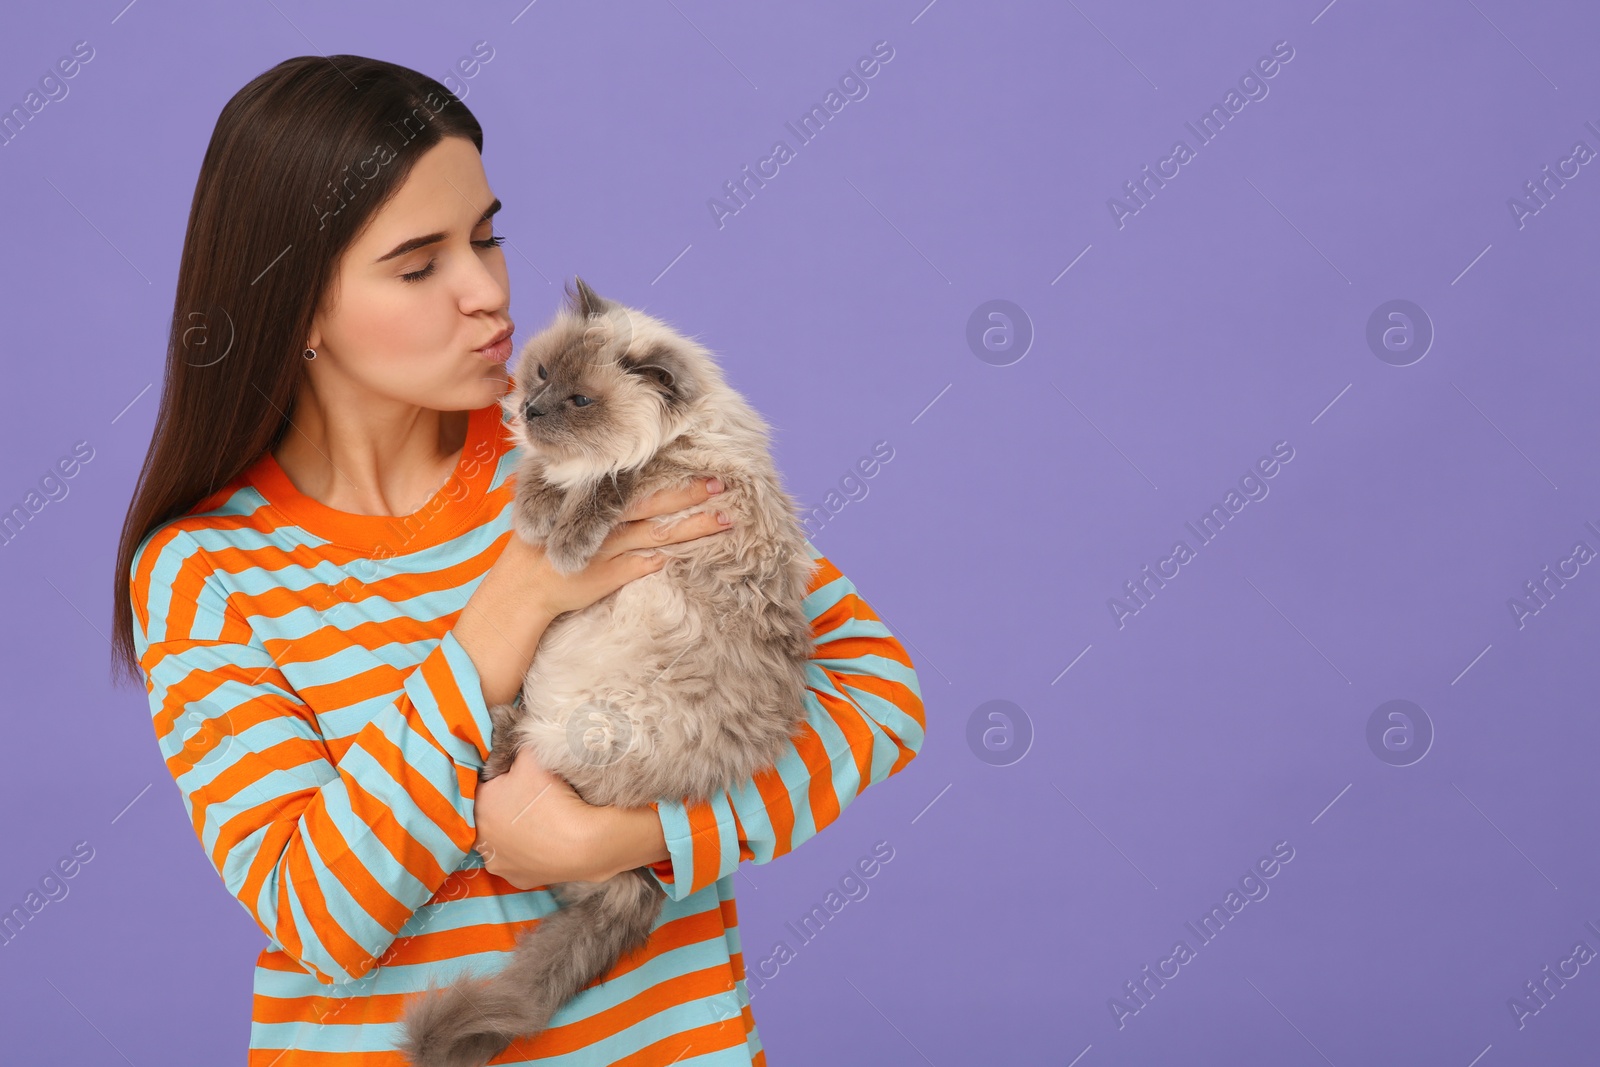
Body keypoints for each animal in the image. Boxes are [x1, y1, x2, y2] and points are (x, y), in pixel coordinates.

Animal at [395, 279, 819, 1062]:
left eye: (580, 399)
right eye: (538, 377)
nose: (531, 411)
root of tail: (633, 884)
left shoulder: (681, 470)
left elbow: (620, 477)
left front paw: (562, 537)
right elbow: (540, 476)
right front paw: (536, 510)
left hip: (602, 722)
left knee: (525, 758)